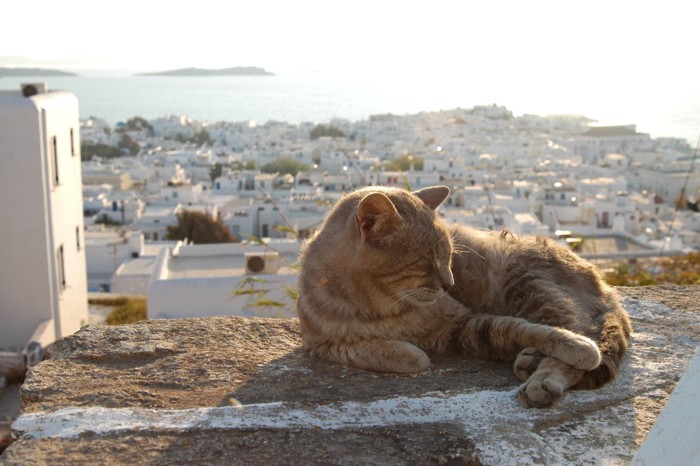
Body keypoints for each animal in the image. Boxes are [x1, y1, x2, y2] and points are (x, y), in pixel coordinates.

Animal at [296, 186, 636, 408]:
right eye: (426, 262)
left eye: (449, 256)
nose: (450, 284)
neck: (378, 306)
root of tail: (600, 279)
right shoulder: (320, 344)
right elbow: (375, 350)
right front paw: (402, 350)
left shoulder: (461, 323)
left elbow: (528, 329)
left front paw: (575, 348)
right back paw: (530, 361)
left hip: (530, 286)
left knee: (580, 329)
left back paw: (546, 375)